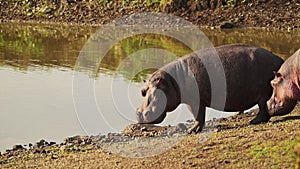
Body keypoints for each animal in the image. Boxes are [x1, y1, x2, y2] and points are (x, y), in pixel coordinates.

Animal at [136, 44, 296, 133]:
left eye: (152, 93)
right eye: (142, 92)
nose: (140, 114)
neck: (172, 81)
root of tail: (280, 60)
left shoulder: (195, 101)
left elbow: (198, 116)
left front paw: (192, 131)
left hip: (263, 95)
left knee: (264, 110)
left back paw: (254, 121)